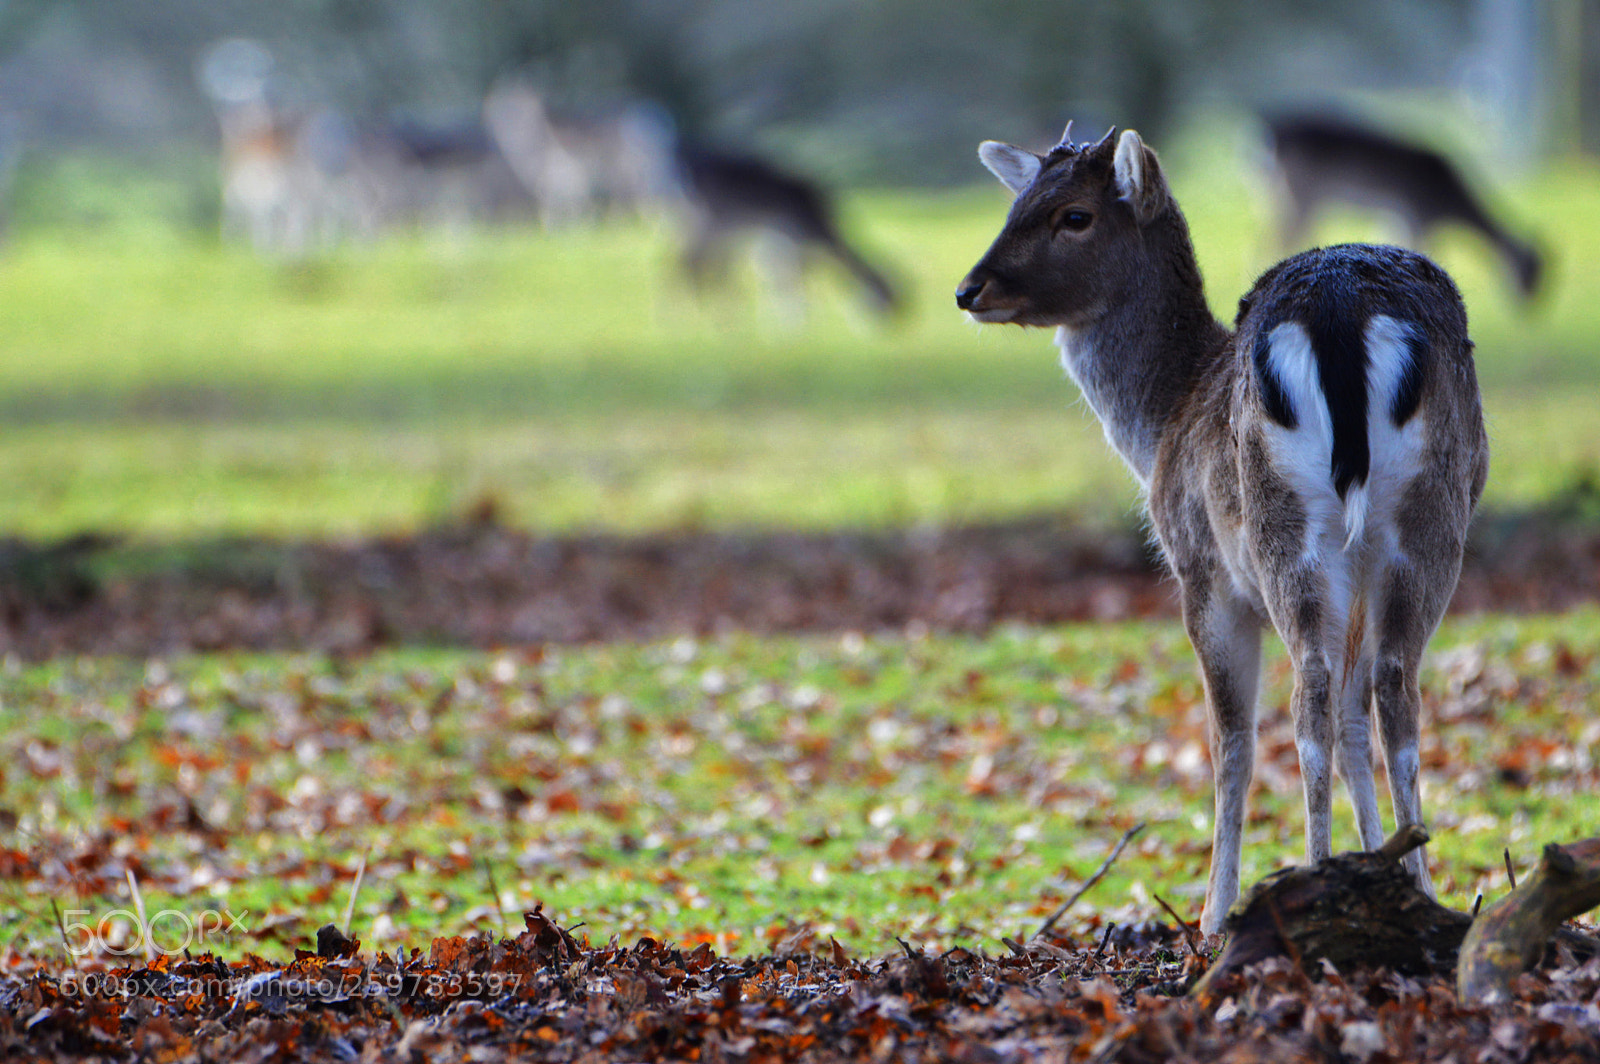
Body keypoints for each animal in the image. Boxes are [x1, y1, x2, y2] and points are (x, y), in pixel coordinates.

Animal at [956, 125, 1488, 934]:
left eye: (1074, 215)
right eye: (1016, 203)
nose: (969, 289)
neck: (1163, 418)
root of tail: (1341, 317)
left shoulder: (1200, 571)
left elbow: (1229, 738)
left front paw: (1211, 913)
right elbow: (1354, 726)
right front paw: (1383, 867)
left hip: (1280, 529)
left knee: (1308, 696)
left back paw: (1310, 882)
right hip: (1423, 520)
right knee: (1391, 688)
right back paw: (1423, 891)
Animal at [1266, 112, 1543, 302]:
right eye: (1531, 272)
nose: (1530, 307)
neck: (1448, 203)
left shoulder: (1397, 217)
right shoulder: (1421, 215)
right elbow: (1427, 250)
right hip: (1301, 192)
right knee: (1280, 236)